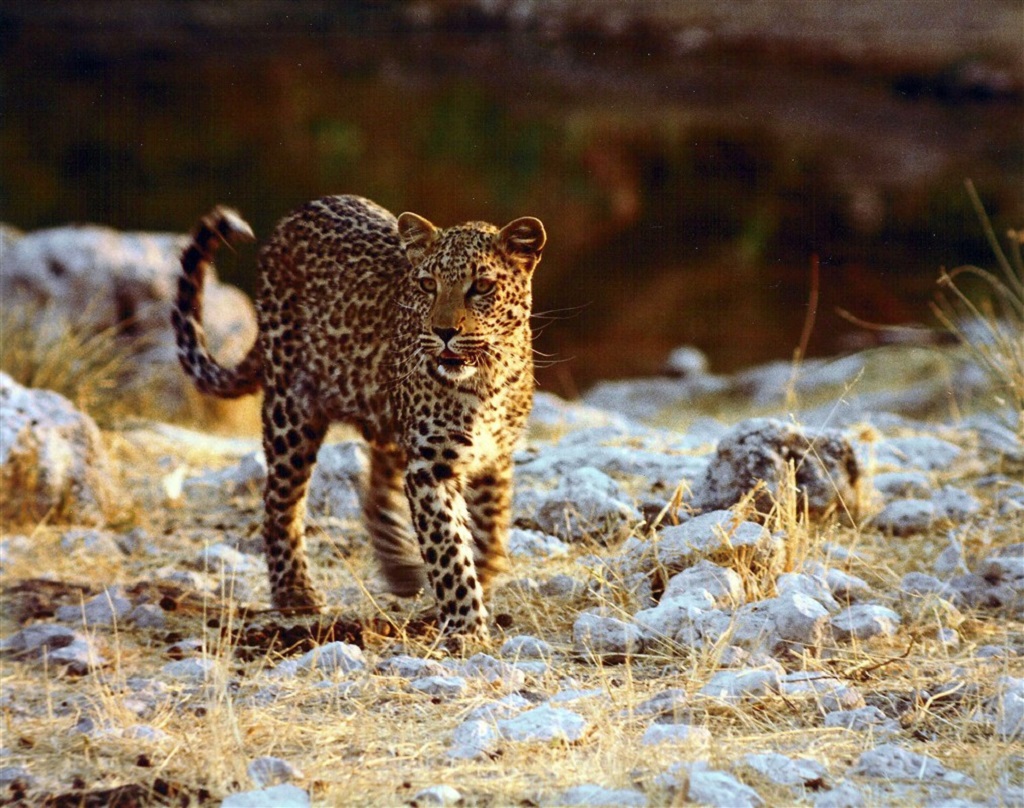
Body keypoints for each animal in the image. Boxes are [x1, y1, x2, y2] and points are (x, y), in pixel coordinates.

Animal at [172, 195, 548, 634]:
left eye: (482, 287)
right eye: (427, 285)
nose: (443, 332)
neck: (487, 379)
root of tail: (295, 216)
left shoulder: (494, 459)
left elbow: (491, 533)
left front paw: (480, 586)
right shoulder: (431, 466)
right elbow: (449, 549)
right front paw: (465, 626)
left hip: (384, 416)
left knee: (376, 486)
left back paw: (399, 570)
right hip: (292, 410)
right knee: (280, 502)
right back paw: (294, 592)